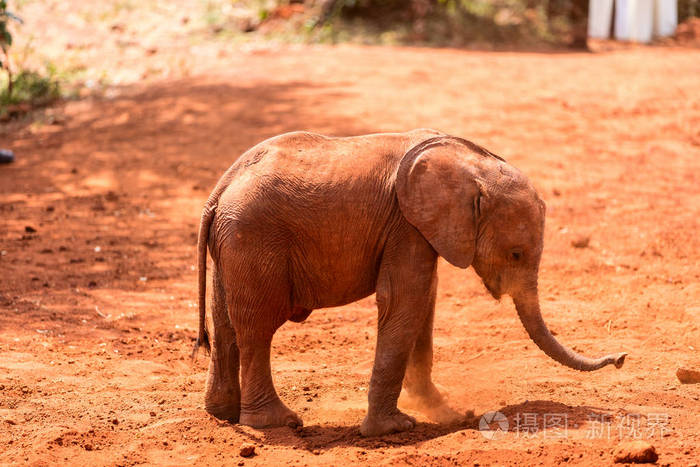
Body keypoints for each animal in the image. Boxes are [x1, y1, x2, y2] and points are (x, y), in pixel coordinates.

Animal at [193, 130, 628, 436]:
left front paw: (448, 413)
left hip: (232, 245)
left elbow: (424, 304)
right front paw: (396, 429)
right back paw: (278, 423)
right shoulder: (405, 224)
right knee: (257, 329)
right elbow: (406, 303)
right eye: (517, 254)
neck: (470, 163)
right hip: (253, 241)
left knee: (225, 324)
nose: (621, 358)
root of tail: (217, 192)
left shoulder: (418, 230)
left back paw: (223, 414)